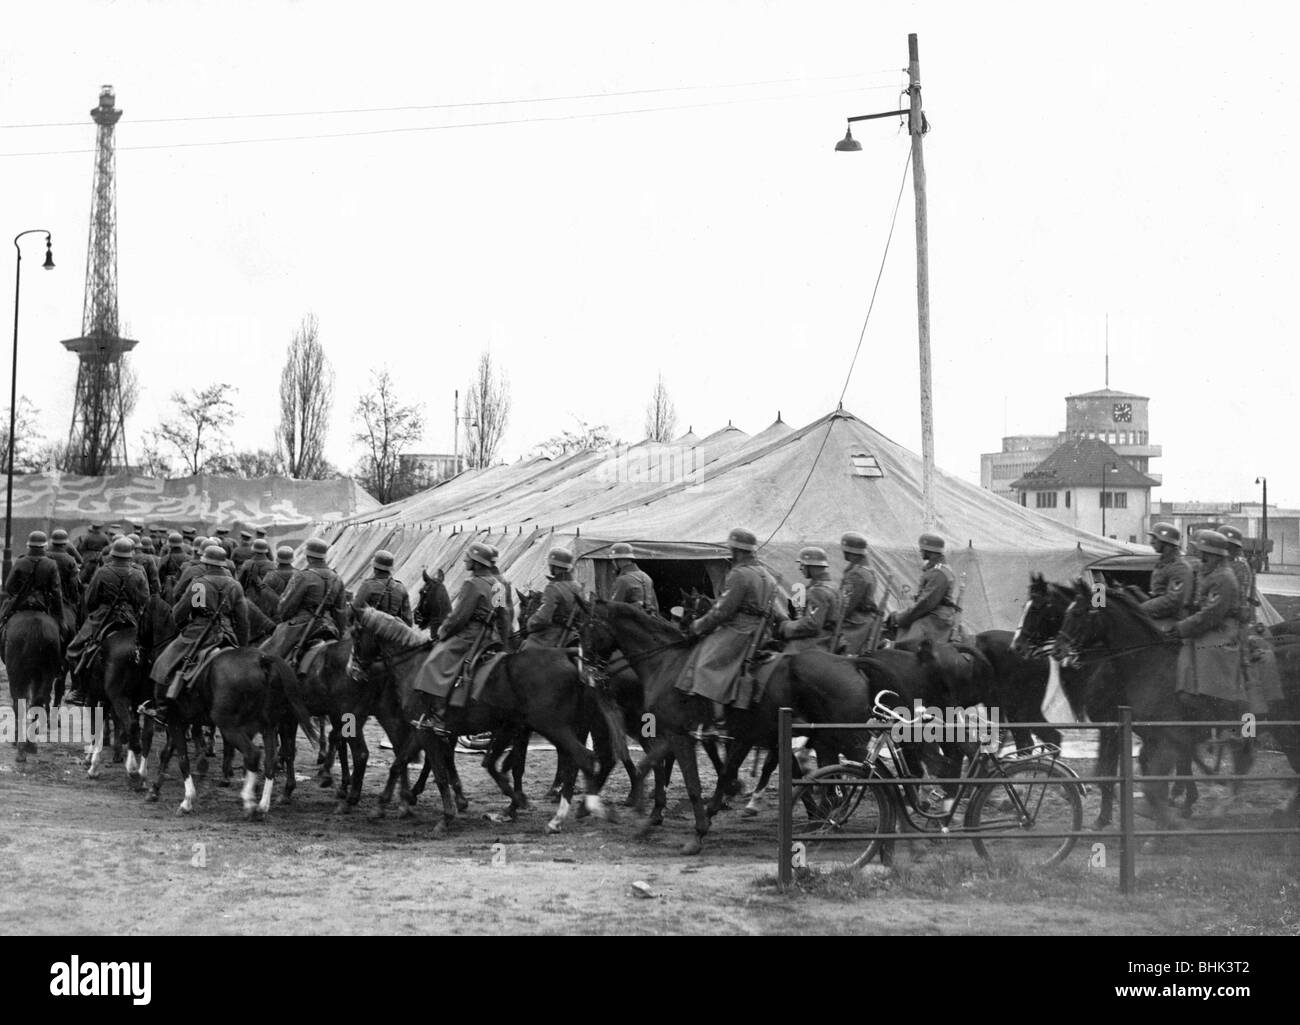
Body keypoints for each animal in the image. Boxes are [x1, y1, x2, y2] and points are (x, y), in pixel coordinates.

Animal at [3, 608, 63, 759]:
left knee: (20, 705)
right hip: (46, 674)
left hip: (18, 675)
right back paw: (30, 743)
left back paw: (21, 747)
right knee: (38, 700)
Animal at [144, 645, 317, 822]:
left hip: (230, 726)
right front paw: (155, 789)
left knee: (253, 754)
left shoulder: (175, 721)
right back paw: (263, 806)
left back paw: (249, 803)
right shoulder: (181, 722)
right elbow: (166, 754)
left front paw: (187, 801)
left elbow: (182, 760)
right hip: (268, 726)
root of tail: (263, 660)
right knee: (271, 761)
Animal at [351, 608, 624, 832]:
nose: (353, 670)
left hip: (553, 726)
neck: (415, 665)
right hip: (565, 727)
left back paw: (571, 814)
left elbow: (439, 773)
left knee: (583, 759)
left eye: (355, 634)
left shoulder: (427, 731)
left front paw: (446, 816)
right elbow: (399, 764)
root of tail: (568, 654)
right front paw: (381, 806)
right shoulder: (422, 729)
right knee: (573, 763)